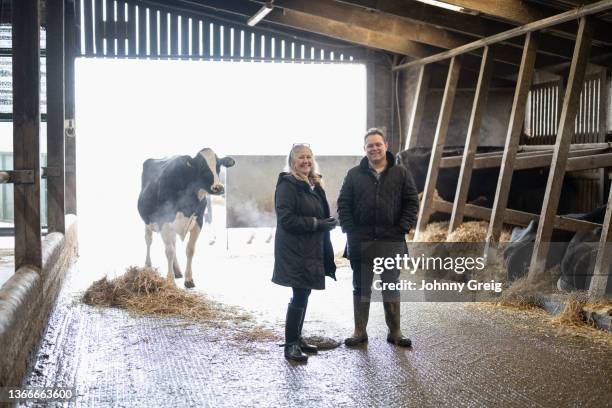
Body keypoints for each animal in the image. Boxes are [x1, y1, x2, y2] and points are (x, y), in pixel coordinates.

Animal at [137, 148, 235, 288]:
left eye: (218, 165)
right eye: (201, 166)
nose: (218, 187)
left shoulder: (198, 221)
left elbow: (189, 249)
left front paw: (189, 279)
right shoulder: (164, 220)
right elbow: (169, 251)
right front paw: (170, 280)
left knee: (173, 242)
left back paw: (177, 270)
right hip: (147, 221)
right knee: (149, 240)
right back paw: (148, 266)